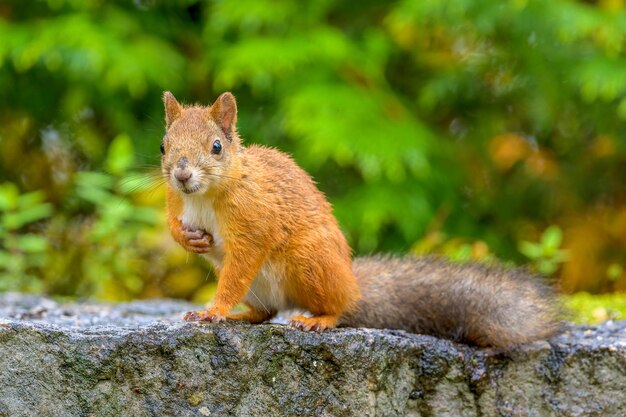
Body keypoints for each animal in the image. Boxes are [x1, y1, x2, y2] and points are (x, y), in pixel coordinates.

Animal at [158, 92, 560, 348]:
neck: (204, 196)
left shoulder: (254, 220)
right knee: (266, 313)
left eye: (216, 147)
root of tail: (352, 283)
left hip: (311, 263)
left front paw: (215, 310)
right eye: (164, 146)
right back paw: (243, 316)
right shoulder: (175, 202)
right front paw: (189, 240)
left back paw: (317, 319)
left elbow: (241, 263)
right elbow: (173, 224)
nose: (181, 174)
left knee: (336, 308)